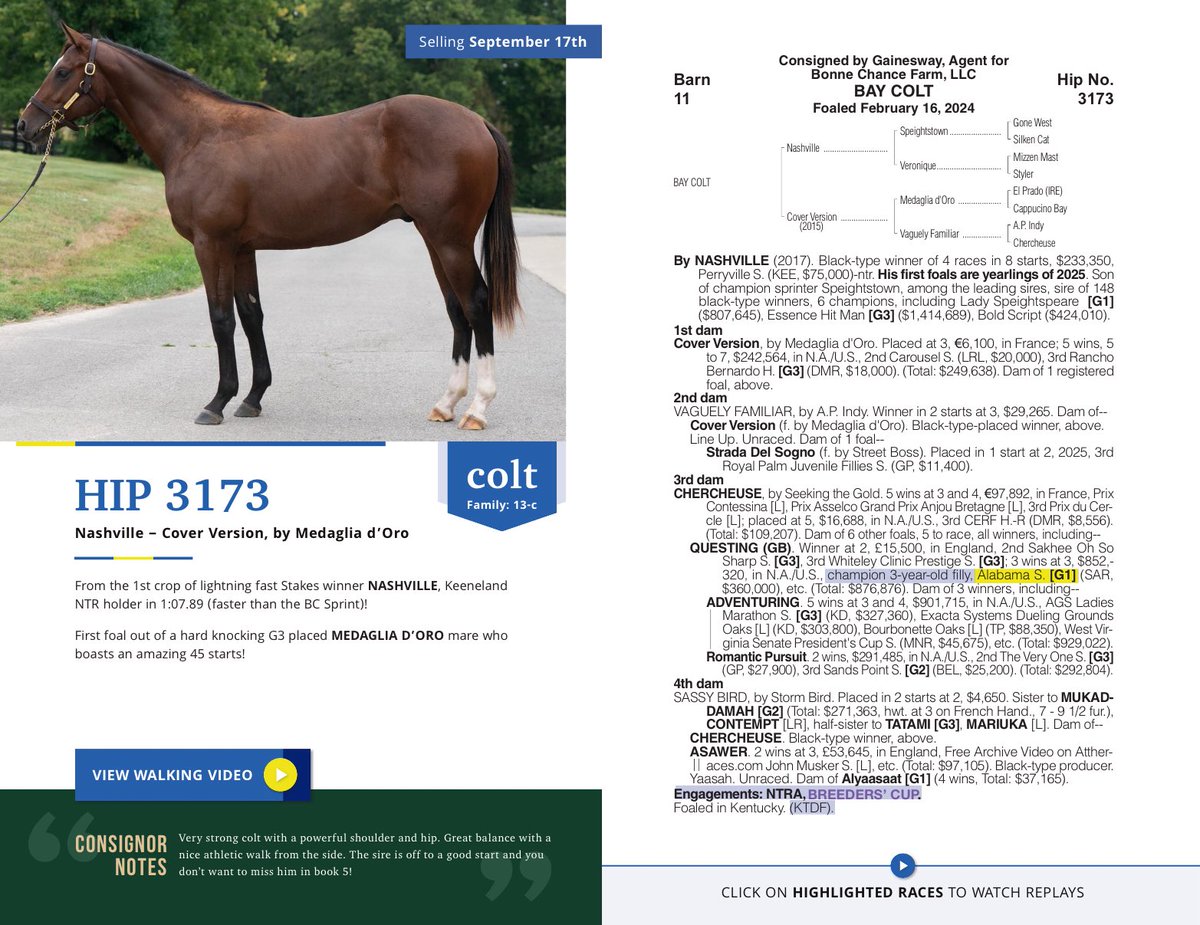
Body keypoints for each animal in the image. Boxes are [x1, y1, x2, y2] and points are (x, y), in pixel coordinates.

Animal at [17, 22, 520, 429]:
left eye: (64, 71)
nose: (25, 125)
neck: (197, 135)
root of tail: (476, 121)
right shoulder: (242, 248)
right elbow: (251, 315)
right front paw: (252, 398)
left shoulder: (211, 244)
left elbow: (221, 318)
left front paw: (217, 403)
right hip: (435, 240)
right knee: (456, 309)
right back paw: (446, 404)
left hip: (449, 240)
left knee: (476, 303)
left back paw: (477, 409)